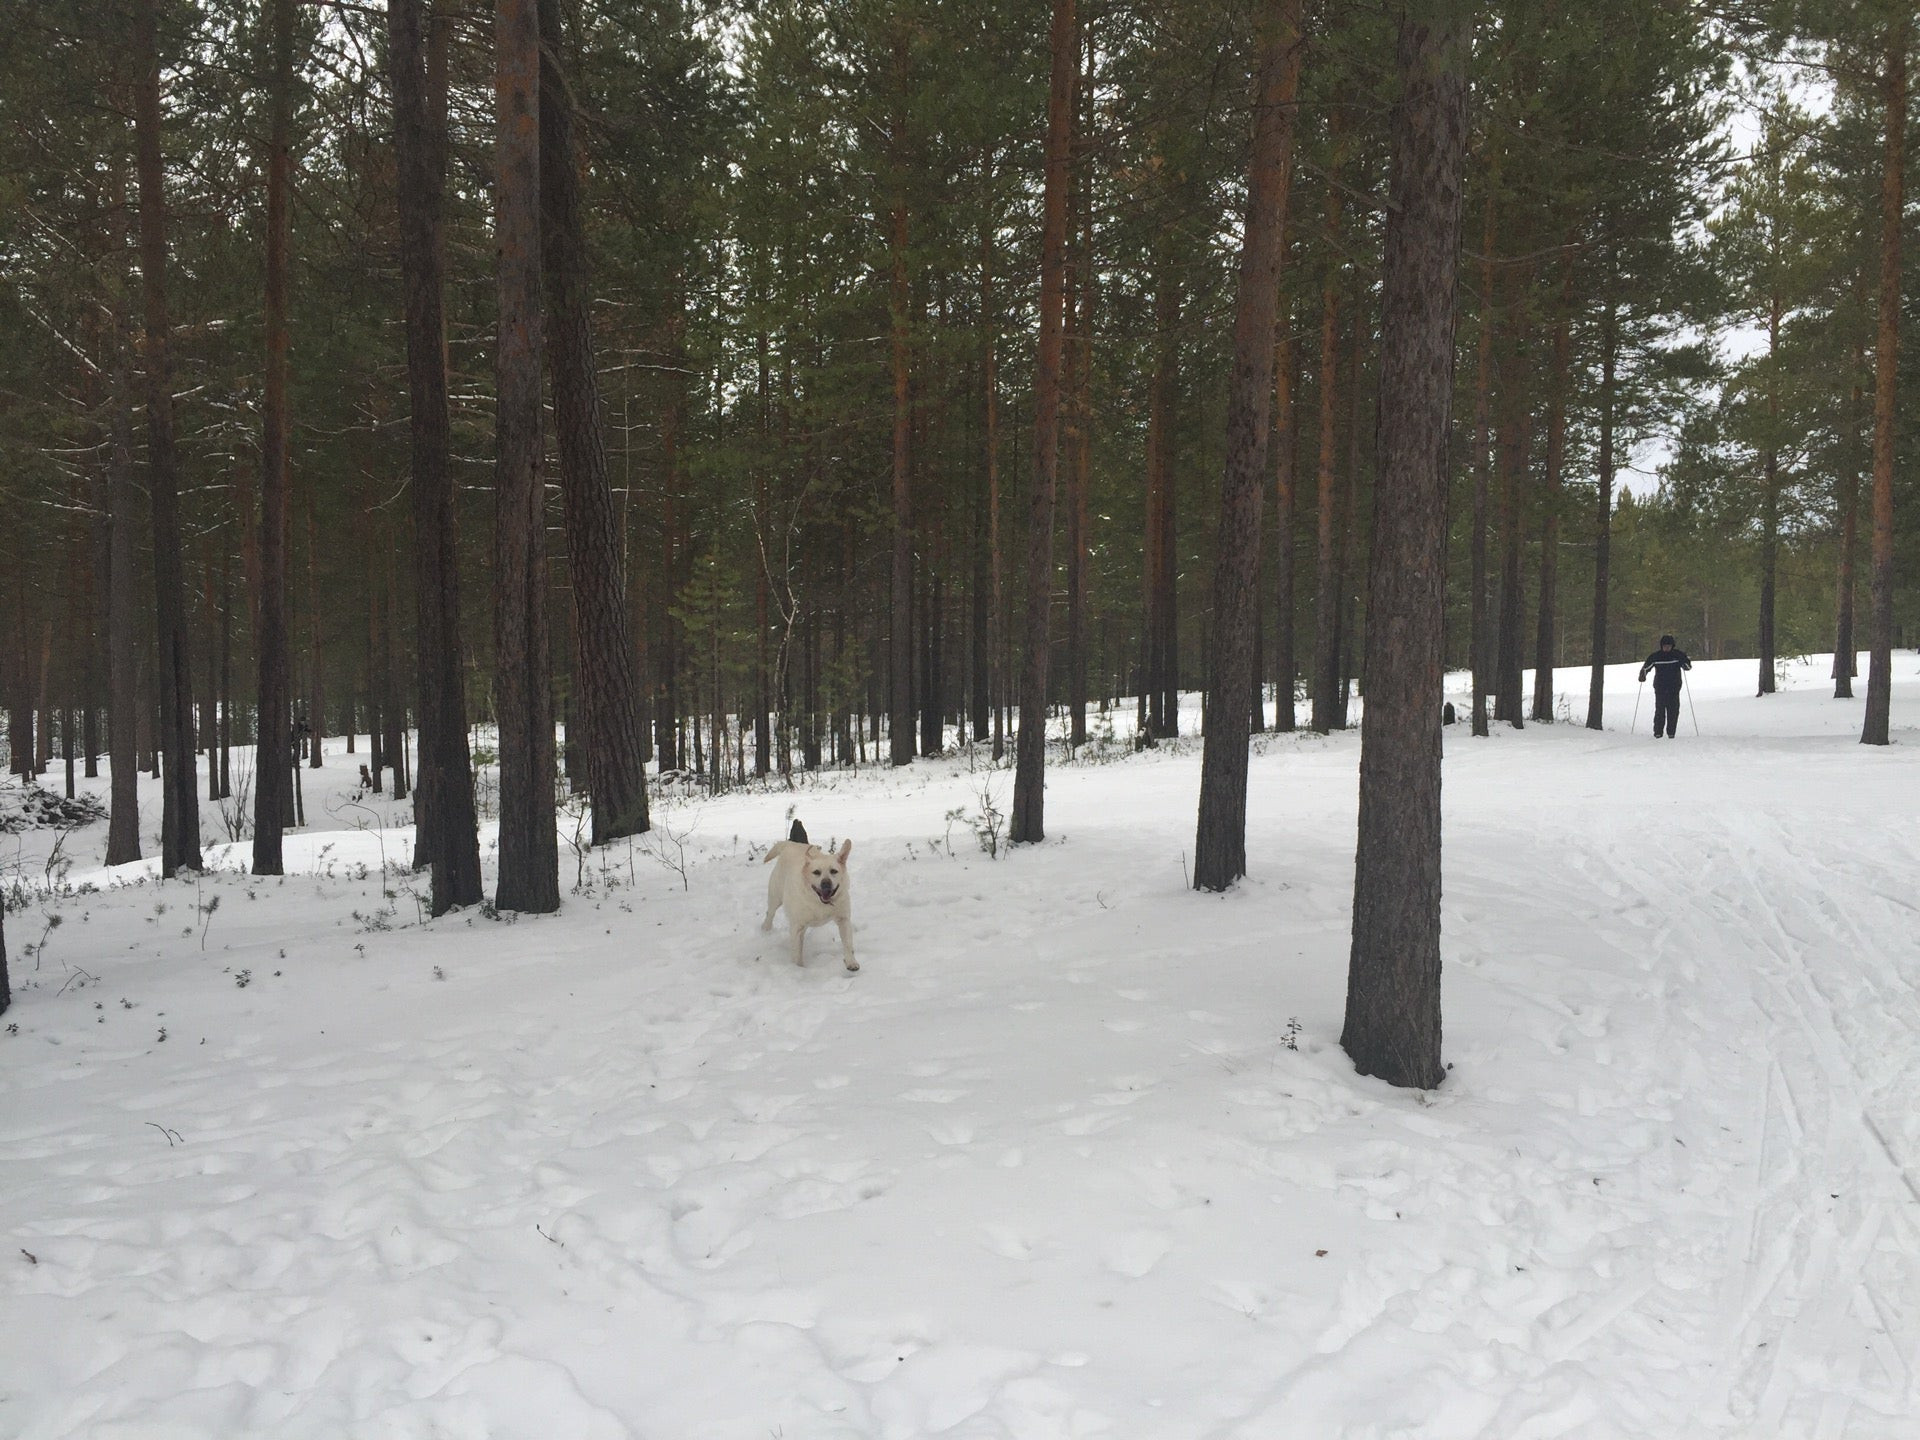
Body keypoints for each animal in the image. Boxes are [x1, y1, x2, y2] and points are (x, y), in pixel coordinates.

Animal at [760, 829, 860, 975]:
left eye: (834, 871)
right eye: (816, 872)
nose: (826, 883)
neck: (819, 903)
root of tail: (790, 844)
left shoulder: (844, 919)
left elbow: (847, 943)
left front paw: (851, 962)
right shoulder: (797, 926)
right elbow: (796, 953)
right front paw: (798, 970)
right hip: (775, 896)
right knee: (770, 913)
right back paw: (765, 929)